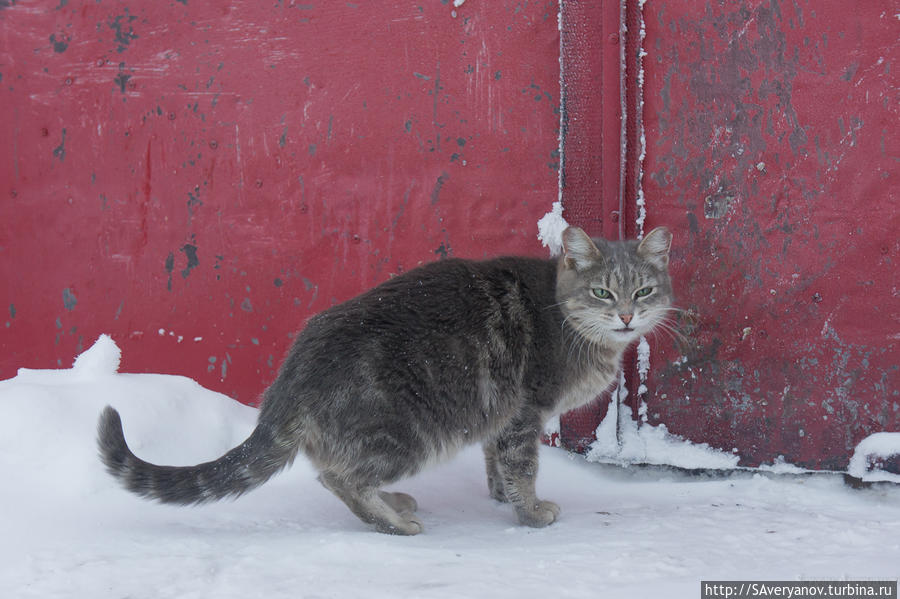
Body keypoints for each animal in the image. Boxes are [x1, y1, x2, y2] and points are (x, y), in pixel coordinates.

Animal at [100, 225, 676, 536]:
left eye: (644, 290)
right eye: (603, 292)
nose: (627, 316)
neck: (568, 320)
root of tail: (289, 377)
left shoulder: (502, 415)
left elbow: (496, 461)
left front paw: (499, 497)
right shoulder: (523, 411)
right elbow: (522, 465)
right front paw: (531, 513)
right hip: (410, 432)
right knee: (338, 477)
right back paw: (394, 523)